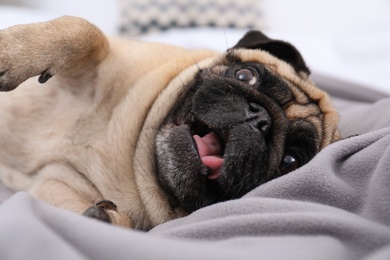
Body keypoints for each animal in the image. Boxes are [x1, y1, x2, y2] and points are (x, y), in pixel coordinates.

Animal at [0, 15, 338, 230]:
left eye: (290, 161)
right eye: (245, 75)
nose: (260, 118)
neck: (135, 151)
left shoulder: (56, 182)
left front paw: (107, 219)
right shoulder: (105, 57)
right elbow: (85, 30)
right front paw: (9, 52)